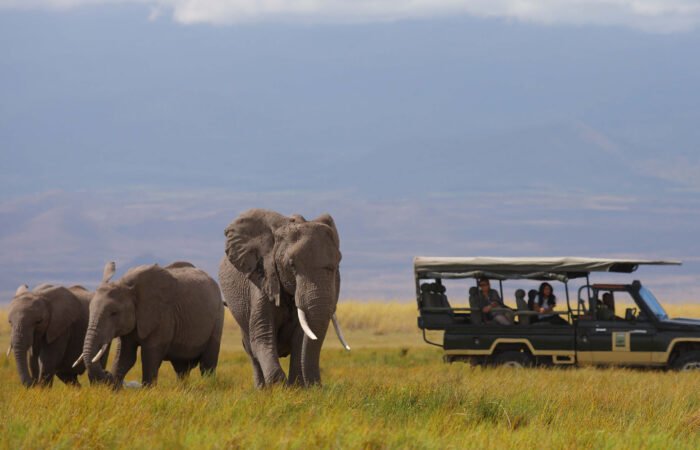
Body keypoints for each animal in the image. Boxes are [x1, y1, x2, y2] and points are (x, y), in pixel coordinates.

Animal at [81, 260, 224, 386]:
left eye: (114, 313)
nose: (107, 373)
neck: (127, 286)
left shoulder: (163, 316)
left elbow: (150, 356)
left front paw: (147, 390)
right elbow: (125, 357)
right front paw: (114, 389)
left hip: (218, 316)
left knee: (207, 364)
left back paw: (208, 386)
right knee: (181, 369)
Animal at [219, 209, 350, 388]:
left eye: (337, 265)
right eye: (291, 265)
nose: (318, 385)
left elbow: (300, 338)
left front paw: (297, 388)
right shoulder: (263, 278)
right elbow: (262, 335)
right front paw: (279, 387)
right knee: (250, 349)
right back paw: (261, 389)